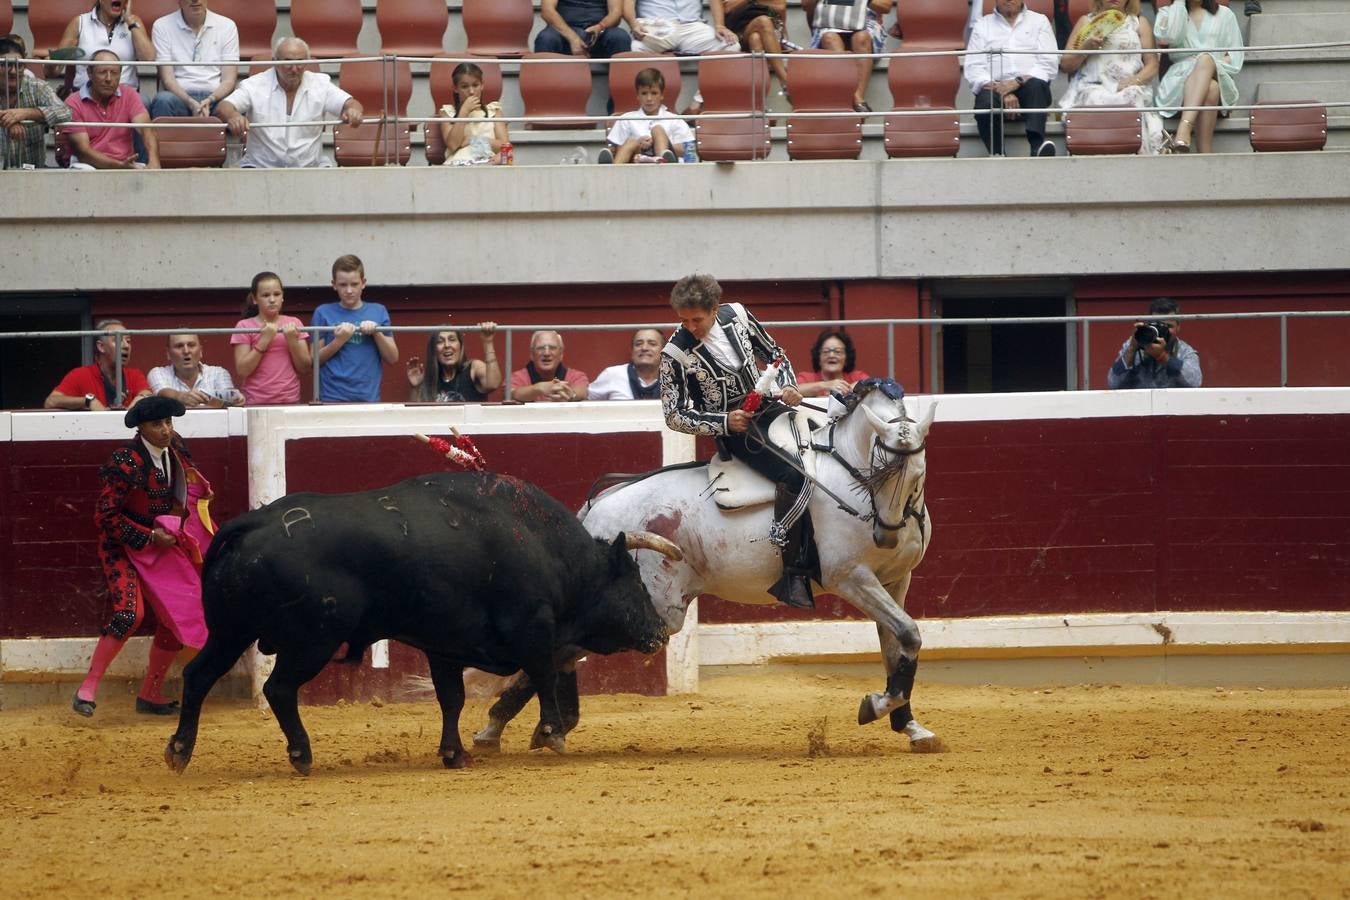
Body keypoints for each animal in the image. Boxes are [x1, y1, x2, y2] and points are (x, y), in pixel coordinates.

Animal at [164, 472, 680, 777]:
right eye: (633, 580)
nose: (659, 630)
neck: (548, 550)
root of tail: (253, 524)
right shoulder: (531, 627)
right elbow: (542, 676)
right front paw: (551, 734)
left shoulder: (445, 645)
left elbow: (451, 699)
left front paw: (455, 752)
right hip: (311, 640)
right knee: (278, 689)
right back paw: (301, 755)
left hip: (230, 631)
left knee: (199, 675)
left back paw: (179, 751)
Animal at [472, 377, 939, 755]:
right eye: (879, 472)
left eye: (917, 477)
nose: (885, 536)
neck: (847, 472)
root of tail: (598, 506)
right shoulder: (850, 577)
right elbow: (909, 633)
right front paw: (876, 705)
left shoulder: (896, 580)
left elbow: (896, 645)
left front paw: (911, 726)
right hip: (655, 612)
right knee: (564, 644)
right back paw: (505, 728)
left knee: (567, 647)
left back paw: (546, 727)